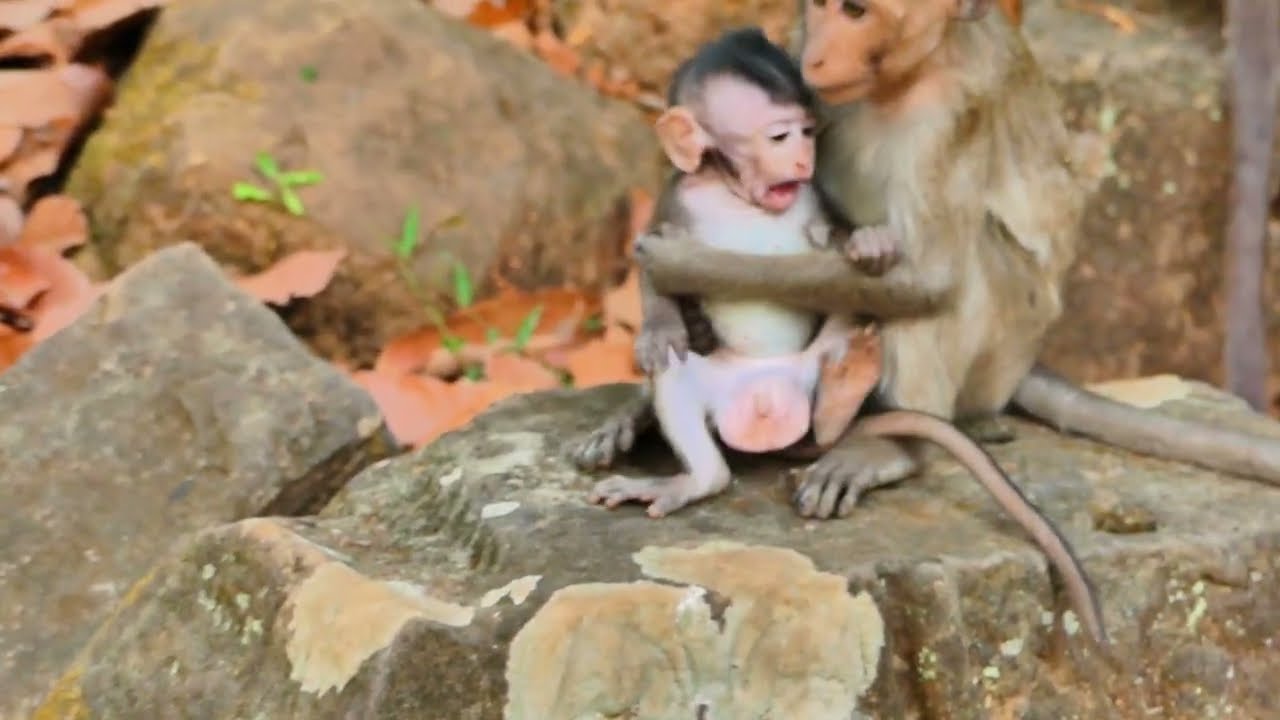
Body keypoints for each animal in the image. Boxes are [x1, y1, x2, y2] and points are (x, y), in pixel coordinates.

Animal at [573, 0, 1280, 524]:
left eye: (858, 9)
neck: (911, 71)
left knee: (946, 280)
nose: (819, 55)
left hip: (1000, 351)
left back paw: (886, 442)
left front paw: (678, 264)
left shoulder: (953, 114)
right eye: (821, 6)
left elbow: (925, 279)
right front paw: (662, 323)